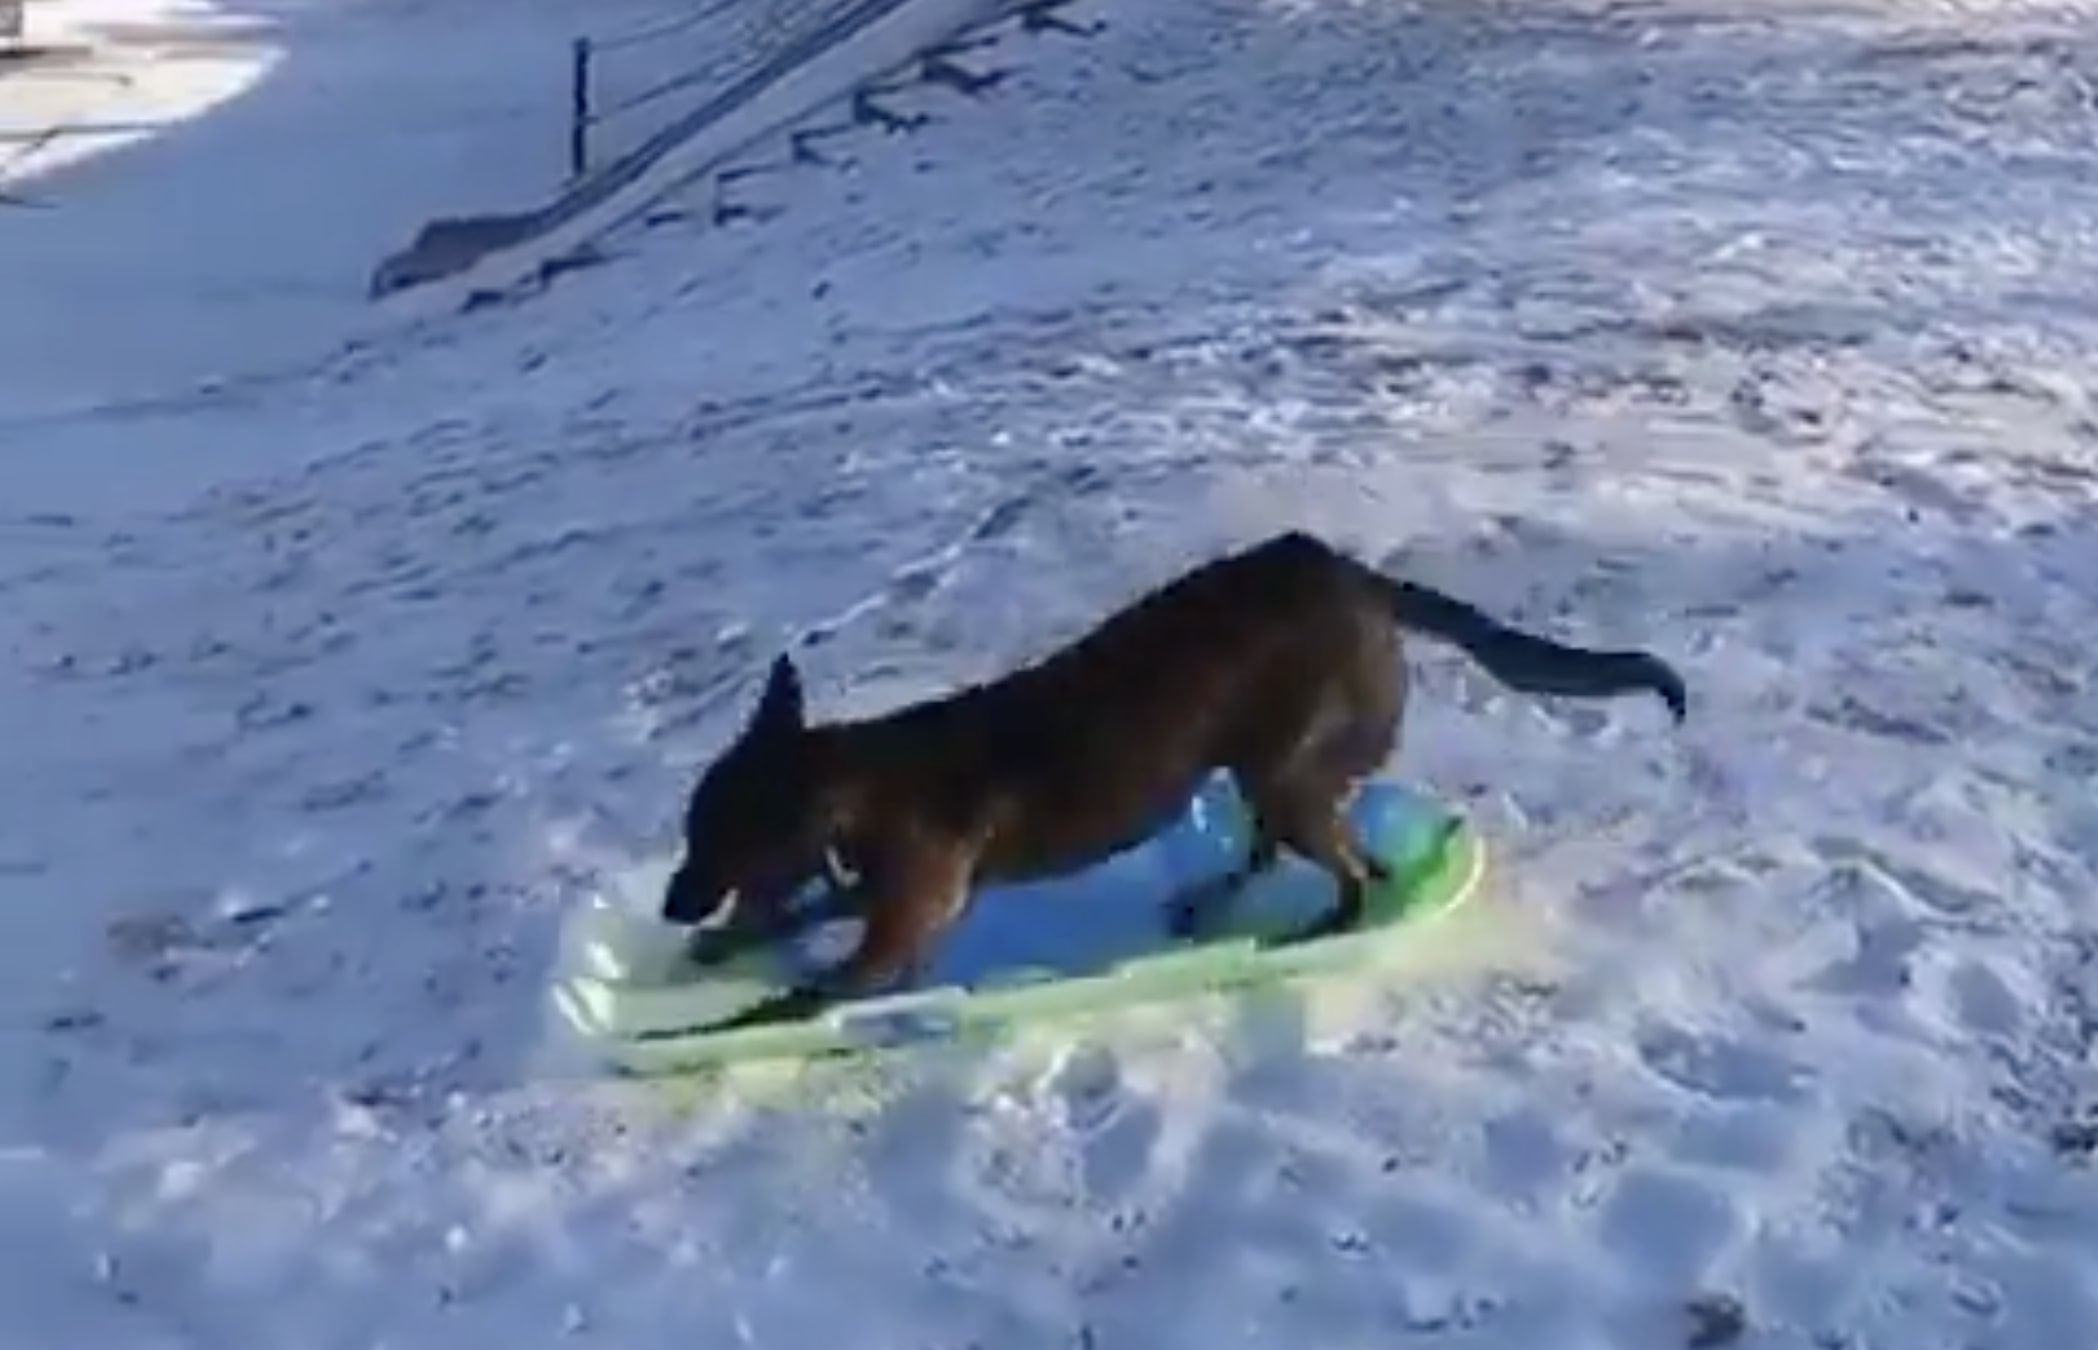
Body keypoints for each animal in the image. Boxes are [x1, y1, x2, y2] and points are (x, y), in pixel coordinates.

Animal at [658, 533, 1686, 1028]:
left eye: (710, 836)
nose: (671, 905)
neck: (856, 790)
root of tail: (1353, 577)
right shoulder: (872, 893)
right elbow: (797, 912)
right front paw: (727, 945)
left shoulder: (900, 935)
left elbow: (815, 988)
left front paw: (730, 1018)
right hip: (1262, 767)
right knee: (1296, 850)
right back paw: (1221, 898)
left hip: (1283, 772)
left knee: (1348, 875)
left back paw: (1311, 930)